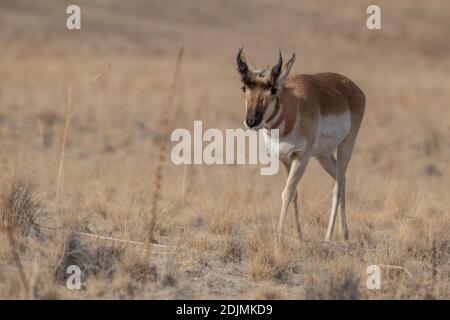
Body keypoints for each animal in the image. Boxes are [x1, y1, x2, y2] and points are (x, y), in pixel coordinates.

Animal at [236, 48, 366, 242]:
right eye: (244, 87)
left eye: (273, 89)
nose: (251, 121)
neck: (292, 107)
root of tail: (353, 88)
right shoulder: (285, 159)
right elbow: (294, 194)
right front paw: (299, 236)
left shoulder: (301, 158)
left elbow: (287, 193)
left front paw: (278, 237)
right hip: (323, 156)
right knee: (341, 179)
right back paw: (345, 235)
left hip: (346, 146)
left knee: (337, 189)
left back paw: (328, 237)